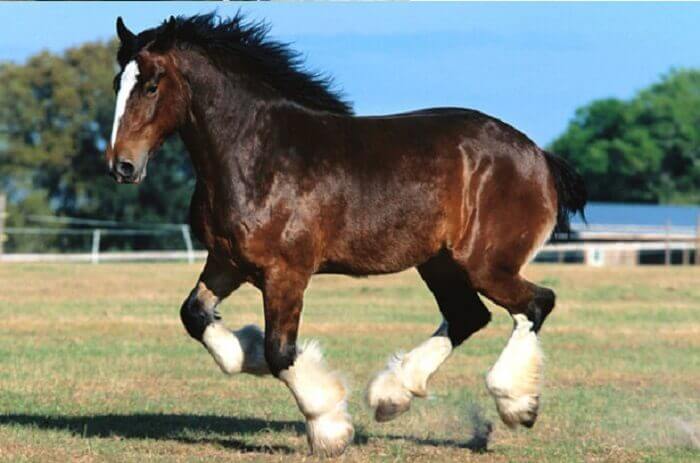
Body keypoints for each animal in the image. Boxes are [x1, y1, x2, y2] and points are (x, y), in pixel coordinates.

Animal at [104, 12, 584, 458]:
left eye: (151, 85)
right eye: (116, 83)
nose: (122, 166)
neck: (257, 156)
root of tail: (538, 156)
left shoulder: (286, 274)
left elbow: (281, 352)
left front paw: (329, 427)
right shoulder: (227, 263)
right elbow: (196, 316)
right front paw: (248, 351)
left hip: (485, 264)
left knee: (536, 304)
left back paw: (516, 404)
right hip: (440, 264)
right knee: (470, 316)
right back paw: (392, 395)